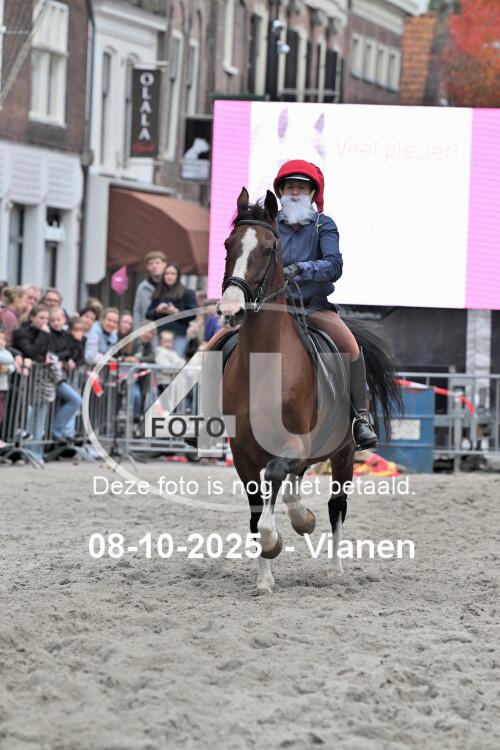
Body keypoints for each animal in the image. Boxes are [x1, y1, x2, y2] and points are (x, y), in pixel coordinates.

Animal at [217, 187, 402, 593]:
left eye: (268, 248)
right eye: (227, 244)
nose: (231, 309)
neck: (266, 364)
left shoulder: (294, 444)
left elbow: (275, 483)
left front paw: (280, 538)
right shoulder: (243, 454)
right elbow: (256, 513)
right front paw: (265, 577)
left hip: (345, 453)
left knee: (336, 505)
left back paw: (333, 567)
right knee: (294, 486)